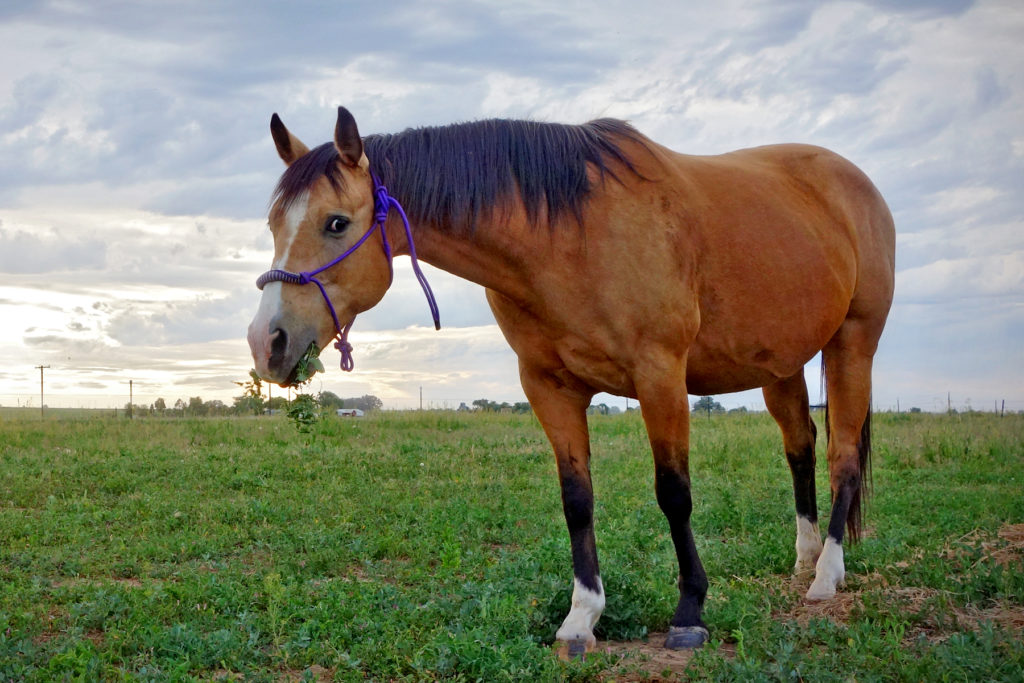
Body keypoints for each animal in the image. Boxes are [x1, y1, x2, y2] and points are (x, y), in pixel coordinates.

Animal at [243, 105, 892, 651]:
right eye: (273, 224)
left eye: (335, 223)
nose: (267, 342)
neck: (569, 236)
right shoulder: (548, 387)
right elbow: (576, 500)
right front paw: (582, 617)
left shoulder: (660, 375)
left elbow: (674, 493)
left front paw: (689, 612)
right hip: (781, 365)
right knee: (801, 448)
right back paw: (805, 557)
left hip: (852, 344)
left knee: (842, 457)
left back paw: (828, 574)